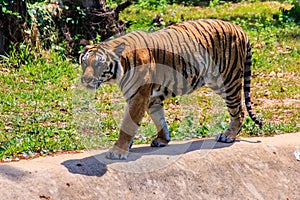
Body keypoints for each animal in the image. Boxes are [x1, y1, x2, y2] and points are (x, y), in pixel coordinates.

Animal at [79, 18, 262, 159]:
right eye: (85, 62)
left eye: (99, 64)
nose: (86, 80)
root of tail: (239, 28)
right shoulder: (150, 98)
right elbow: (158, 119)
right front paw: (162, 139)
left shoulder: (139, 96)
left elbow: (128, 124)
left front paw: (118, 151)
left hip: (228, 81)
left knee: (239, 111)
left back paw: (228, 136)